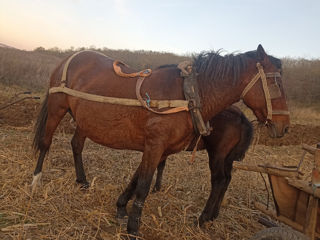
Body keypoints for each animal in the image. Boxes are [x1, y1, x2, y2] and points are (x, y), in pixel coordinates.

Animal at [32, 44, 290, 236]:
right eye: (275, 83)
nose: (285, 127)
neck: (188, 95)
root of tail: (70, 57)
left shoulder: (159, 148)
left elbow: (138, 178)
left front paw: (122, 208)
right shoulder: (155, 145)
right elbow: (143, 184)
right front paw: (132, 227)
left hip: (85, 120)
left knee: (76, 144)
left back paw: (82, 181)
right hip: (57, 108)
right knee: (46, 142)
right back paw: (36, 180)